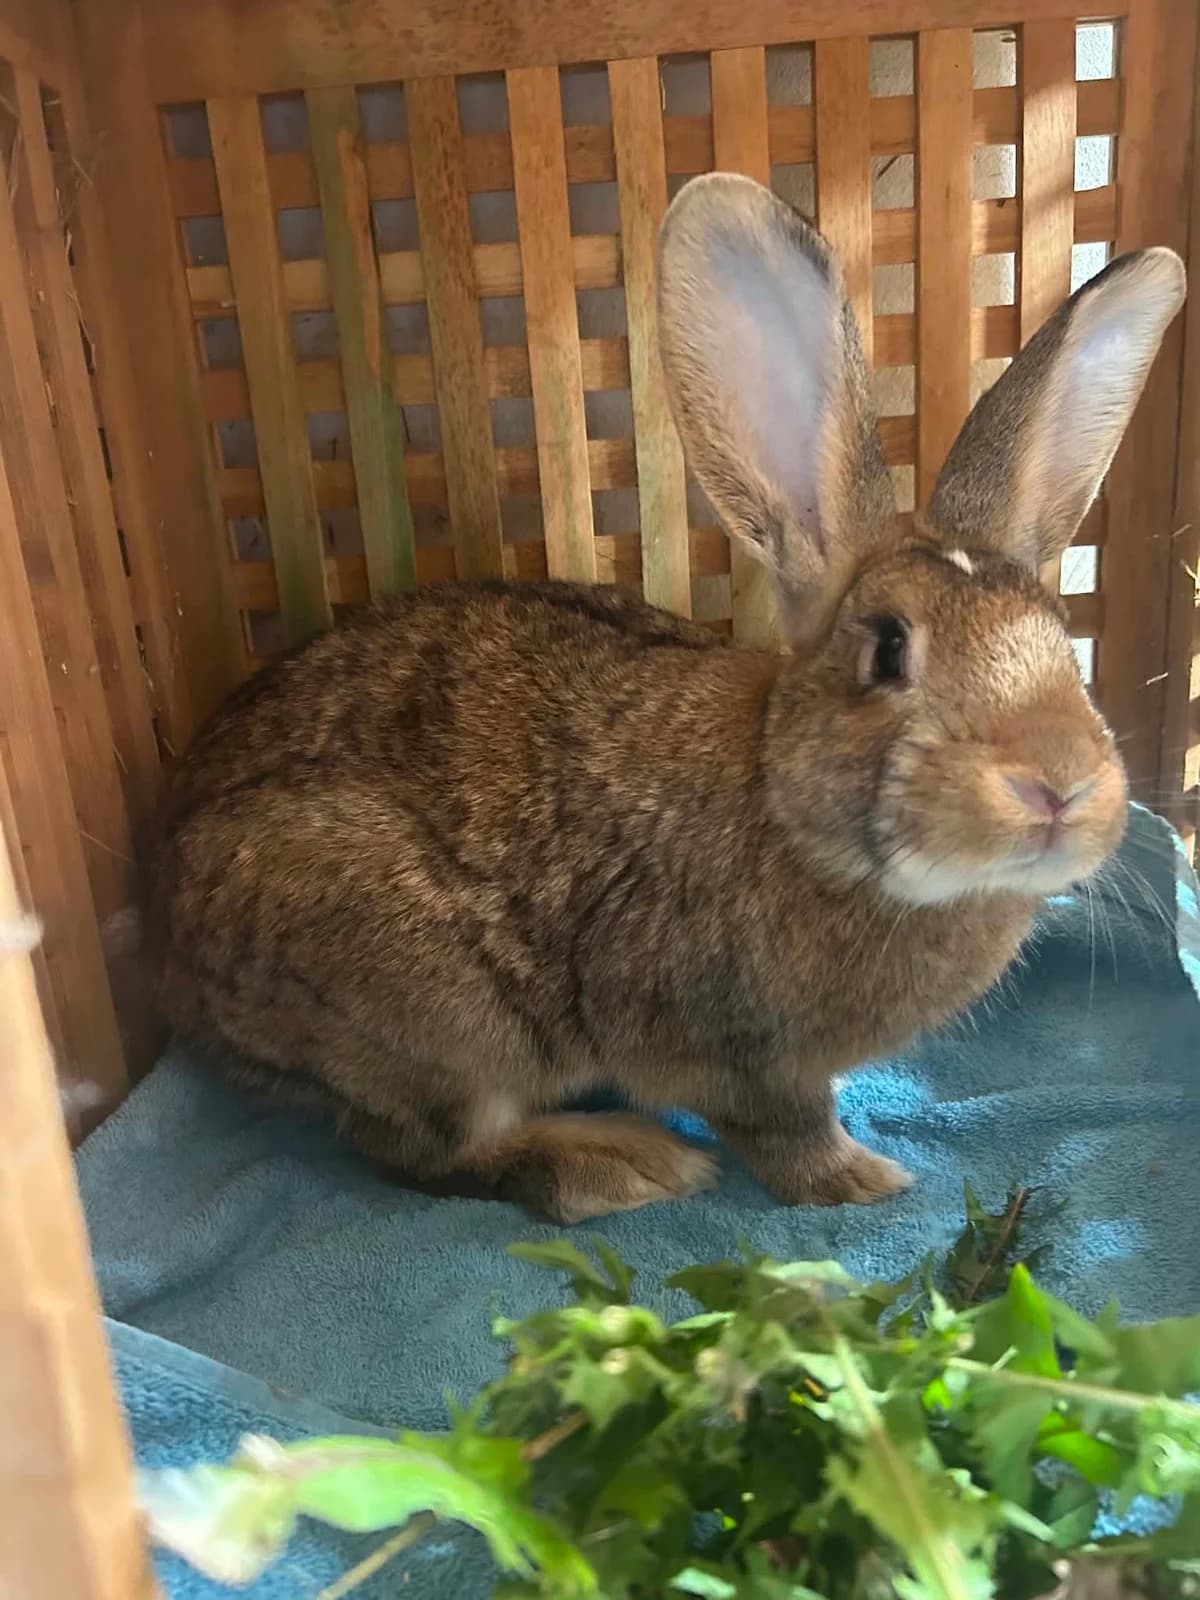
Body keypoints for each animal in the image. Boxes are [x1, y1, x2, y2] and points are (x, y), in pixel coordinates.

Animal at [153, 173, 1184, 1225]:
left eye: (1063, 641)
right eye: (890, 649)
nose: (1057, 789)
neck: (788, 810)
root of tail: (176, 962)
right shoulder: (743, 1056)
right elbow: (785, 1134)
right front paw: (862, 1182)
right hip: (438, 1019)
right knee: (417, 1152)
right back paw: (622, 1164)